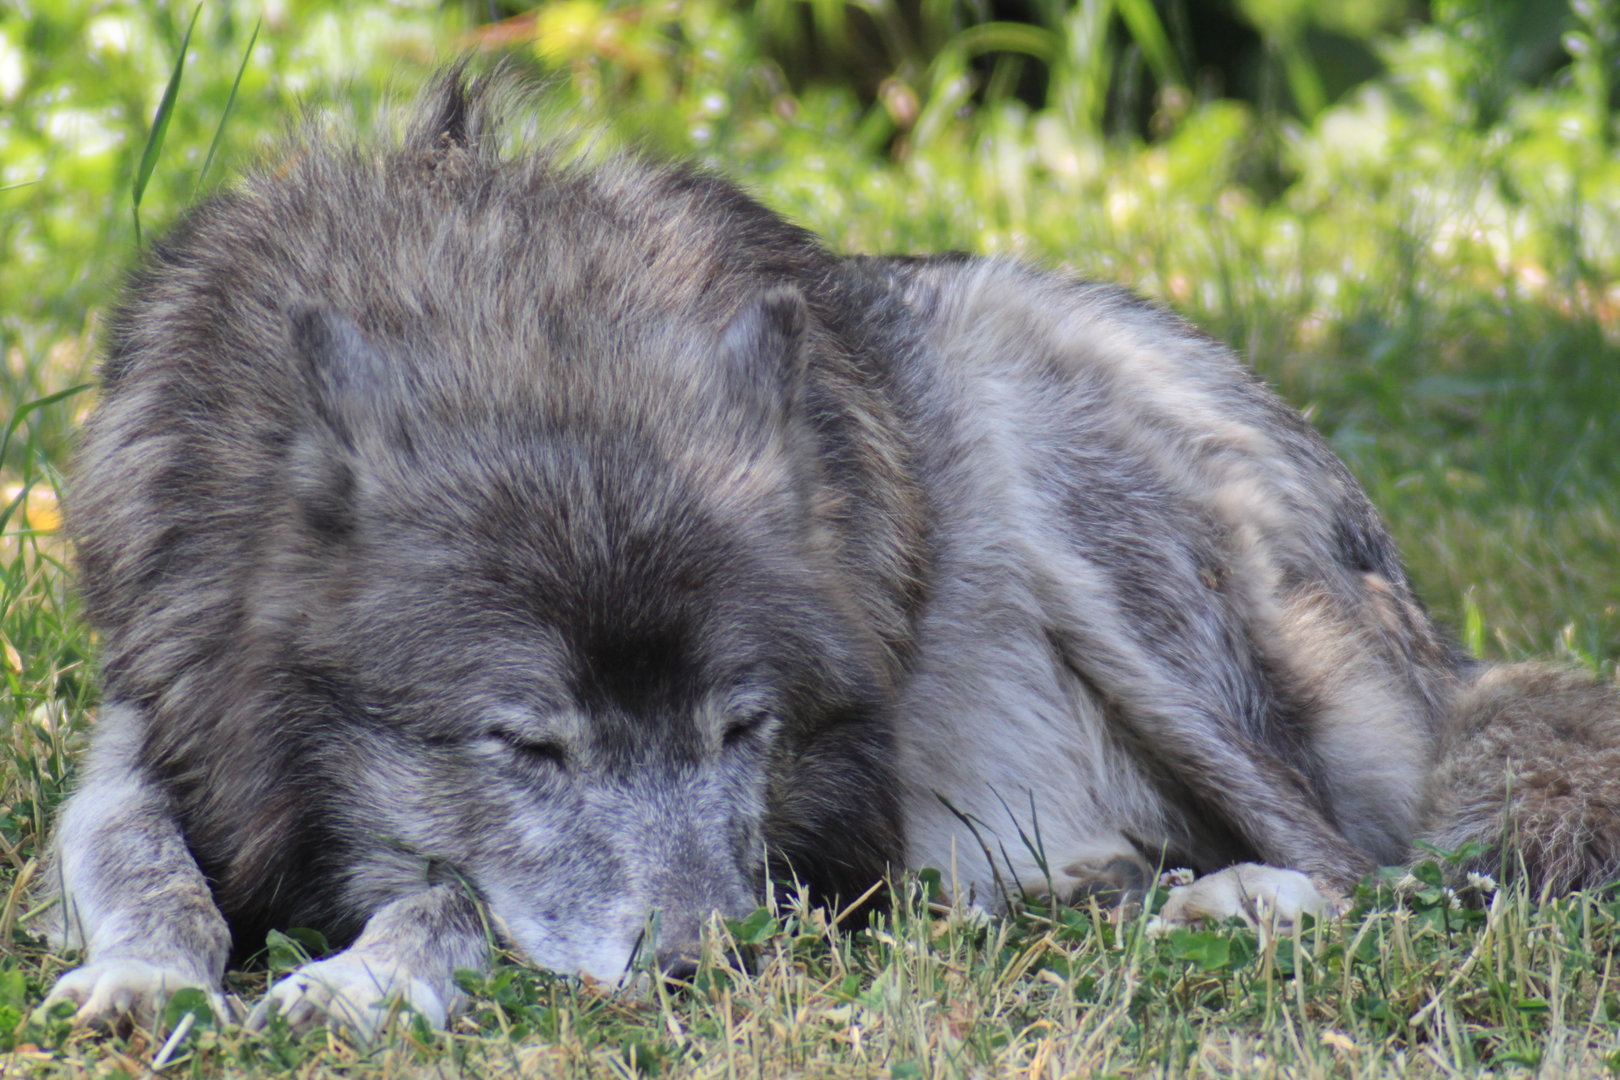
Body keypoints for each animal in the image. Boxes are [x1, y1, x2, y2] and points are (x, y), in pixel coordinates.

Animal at [41, 68, 1620, 1034]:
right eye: (527, 746)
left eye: (747, 732)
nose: (713, 962)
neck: (526, 332)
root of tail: (1437, 642)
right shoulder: (156, 717)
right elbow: (139, 855)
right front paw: (143, 981)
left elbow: (446, 891)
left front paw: (356, 984)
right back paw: (1068, 889)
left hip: (1075, 491)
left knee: (1377, 871)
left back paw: (1229, 900)